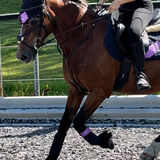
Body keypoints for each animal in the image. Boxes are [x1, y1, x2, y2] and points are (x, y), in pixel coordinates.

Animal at [16, 0, 160, 159]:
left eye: (34, 21)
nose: (22, 55)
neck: (83, 37)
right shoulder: (75, 90)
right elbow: (64, 124)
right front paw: (51, 155)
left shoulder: (99, 91)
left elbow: (78, 122)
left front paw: (106, 140)